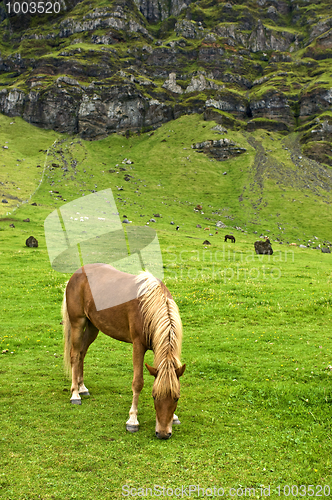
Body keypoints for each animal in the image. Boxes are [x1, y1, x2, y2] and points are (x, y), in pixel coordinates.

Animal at [62, 264, 185, 440]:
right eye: (154, 396)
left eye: (176, 398)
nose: (162, 434)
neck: (149, 306)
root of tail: (77, 273)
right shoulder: (138, 346)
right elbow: (138, 383)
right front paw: (132, 420)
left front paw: (174, 417)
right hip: (78, 323)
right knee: (74, 355)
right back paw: (75, 394)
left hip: (93, 326)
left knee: (81, 353)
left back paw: (82, 388)